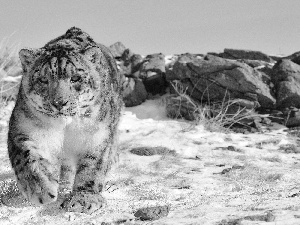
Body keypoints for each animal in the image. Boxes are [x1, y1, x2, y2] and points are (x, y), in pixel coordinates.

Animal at [7, 27, 122, 214]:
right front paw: (40, 188)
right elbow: (27, 157)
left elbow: (93, 166)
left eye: (75, 78)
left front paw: (84, 198)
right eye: (43, 79)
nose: (59, 102)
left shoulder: (98, 135)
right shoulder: (24, 129)